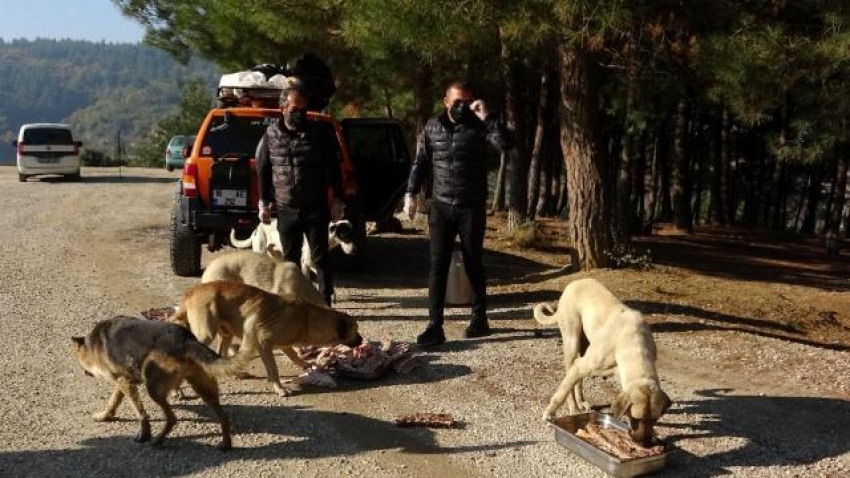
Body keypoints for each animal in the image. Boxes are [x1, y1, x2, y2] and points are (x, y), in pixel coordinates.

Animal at [72, 316, 245, 450]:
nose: (84, 372)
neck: (92, 344)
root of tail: (186, 339)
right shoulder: (124, 381)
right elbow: (113, 401)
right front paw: (105, 416)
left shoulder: (124, 382)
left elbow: (140, 413)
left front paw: (144, 434)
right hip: (203, 386)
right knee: (223, 415)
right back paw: (225, 443)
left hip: (153, 388)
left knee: (172, 418)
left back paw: (157, 440)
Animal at [169, 282, 362, 398]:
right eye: (356, 330)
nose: (361, 340)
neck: (306, 318)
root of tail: (192, 292)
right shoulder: (263, 342)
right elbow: (274, 369)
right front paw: (280, 388)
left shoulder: (283, 345)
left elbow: (294, 356)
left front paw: (306, 365)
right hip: (206, 334)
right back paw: (177, 390)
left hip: (226, 333)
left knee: (219, 355)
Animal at [536, 276, 668, 444]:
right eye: (636, 419)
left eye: (655, 420)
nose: (644, 444)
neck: (634, 343)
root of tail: (575, 281)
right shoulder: (581, 366)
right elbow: (561, 393)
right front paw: (549, 413)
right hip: (572, 342)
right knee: (569, 381)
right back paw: (573, 408)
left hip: (584, 346)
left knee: (578, 380)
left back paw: (581, 402)